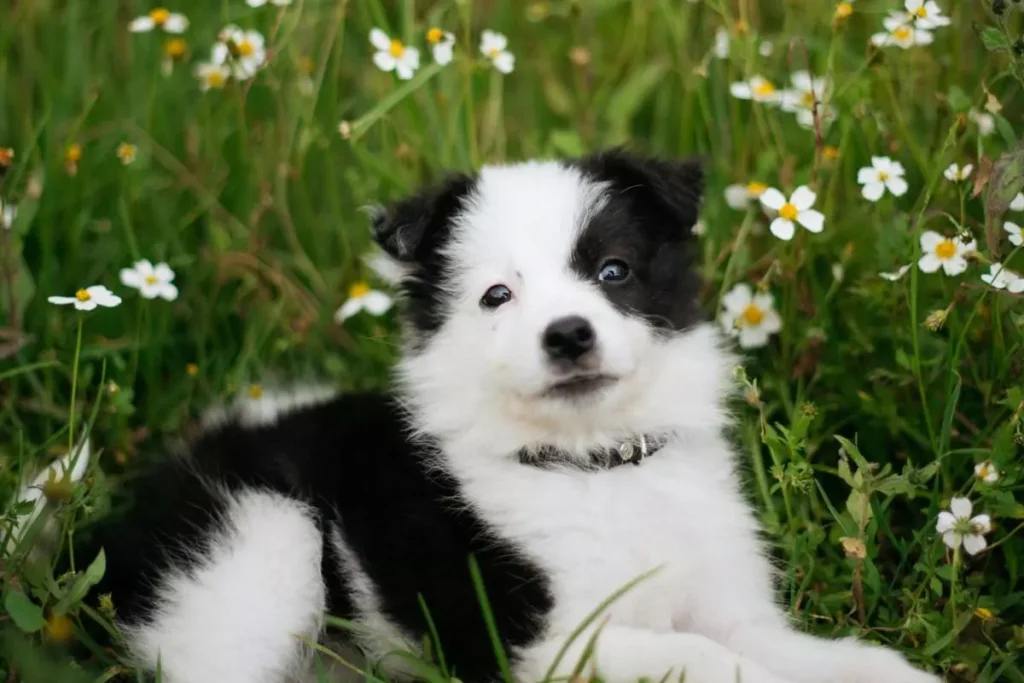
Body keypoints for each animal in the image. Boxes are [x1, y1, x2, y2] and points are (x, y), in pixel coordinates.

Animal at [49, 149, 942, 683]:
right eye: (496, 296)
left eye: (613, 271)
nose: (568, 334)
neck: (592, 467)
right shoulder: (542, 642)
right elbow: (703, 657)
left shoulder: (729, 598)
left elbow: (794, 650)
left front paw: (884, 670)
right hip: (260, 545)